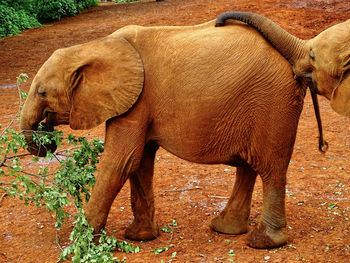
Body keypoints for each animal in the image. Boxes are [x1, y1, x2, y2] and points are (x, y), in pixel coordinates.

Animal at [19, 10, 350, 250]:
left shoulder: (137, 101)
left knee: (270, 168)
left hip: (273, 101)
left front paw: (80, 245)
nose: (46, 141)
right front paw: (138, 237)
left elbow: (120, 162)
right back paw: (225, 229)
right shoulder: (138, 102)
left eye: (42, 93)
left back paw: (263, 243)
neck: (95, 46)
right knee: (248, 166)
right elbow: (139, 162)